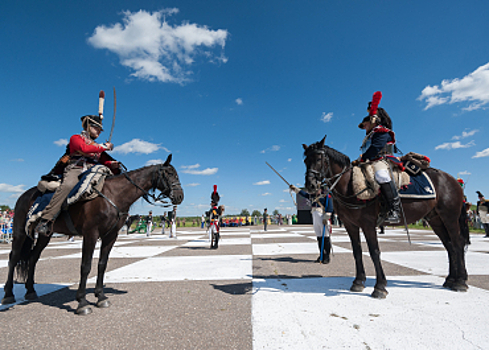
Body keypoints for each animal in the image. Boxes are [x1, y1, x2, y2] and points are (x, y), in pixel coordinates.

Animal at [1, 154, 183, 314]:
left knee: (33, 258)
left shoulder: (110, 236)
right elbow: (86, 266)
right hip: (19, 232)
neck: (113, 195)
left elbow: (102, 264)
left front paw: (101, 297)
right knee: (14, 258)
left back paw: (31, 291)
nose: (180, 196)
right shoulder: (91, 234)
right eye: (169, 173)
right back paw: (9, 294)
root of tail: (24, 195)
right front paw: (82, 302)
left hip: (45, 235)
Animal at [304, 137, 468, 298]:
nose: (310, 185)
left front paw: (380, 287)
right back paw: (450, 279)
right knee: (449, 245)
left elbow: (374, 252)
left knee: (458, 243)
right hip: (436, 220)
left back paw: (460, 282)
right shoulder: (351, 225)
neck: (349, 185)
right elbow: (357, 251)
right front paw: (358, 282)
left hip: (450, 217)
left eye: (318, 158)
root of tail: (453, 180)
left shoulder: (368, 225)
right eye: (305, 160)